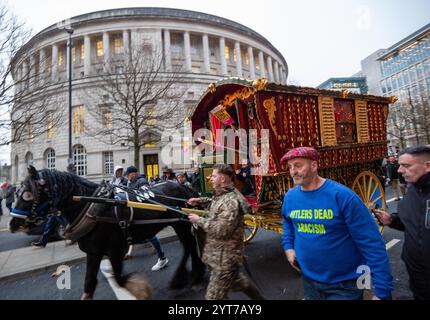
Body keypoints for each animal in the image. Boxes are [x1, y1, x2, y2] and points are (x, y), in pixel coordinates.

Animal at [9, 166, 205, 298]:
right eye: (17, 191)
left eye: (28, 193)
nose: (12, 224)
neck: (93, 205)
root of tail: (184, 187)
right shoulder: (94, 253)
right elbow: (89, 284)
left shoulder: (115, 250)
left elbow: (119, 279)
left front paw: (141, 290)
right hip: (180, 224)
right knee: (189, 247)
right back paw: (190, 277)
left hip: (180, 225)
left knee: (189, 246)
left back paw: (187, 279)